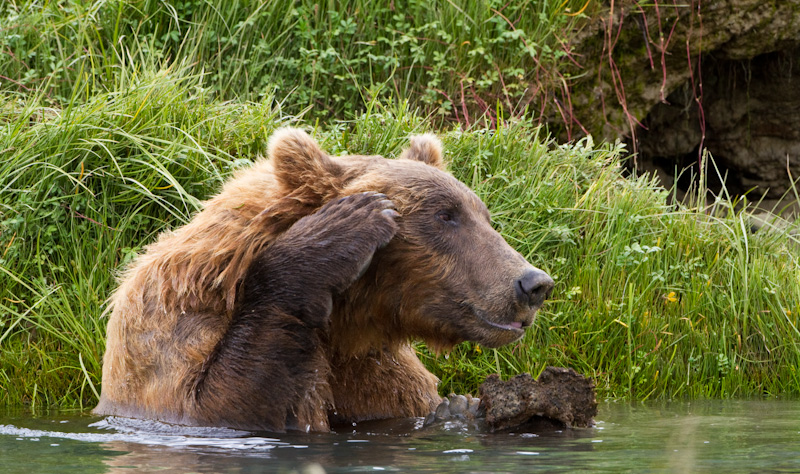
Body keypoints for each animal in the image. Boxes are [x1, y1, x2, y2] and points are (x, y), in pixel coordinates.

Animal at [94, 128, 552, 432]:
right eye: (446, 215)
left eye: (484, 216)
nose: (534, 283)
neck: (346, 320)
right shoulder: (167, 338)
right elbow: (217, 404)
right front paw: (342, 225)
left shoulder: (368, 369)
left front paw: (466, 406)